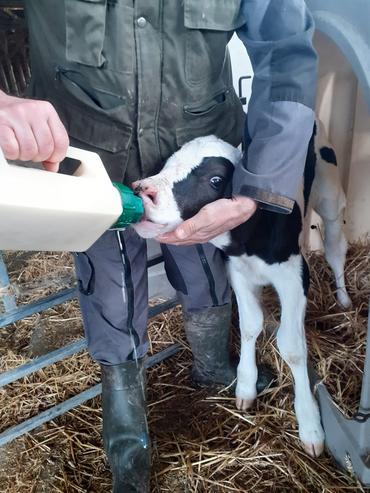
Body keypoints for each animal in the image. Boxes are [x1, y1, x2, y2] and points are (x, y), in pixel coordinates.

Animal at [132, 122, 350, 458]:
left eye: (215, 179)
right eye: (166, 164)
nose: (143, 190)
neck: (248, 242)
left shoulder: (294, 275)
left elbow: (292, 347)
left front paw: (310, 424)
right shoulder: (237, 270)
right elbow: (250, 326)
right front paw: (246, 385)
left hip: (330, 193)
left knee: (336, 247)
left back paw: (343, 299)